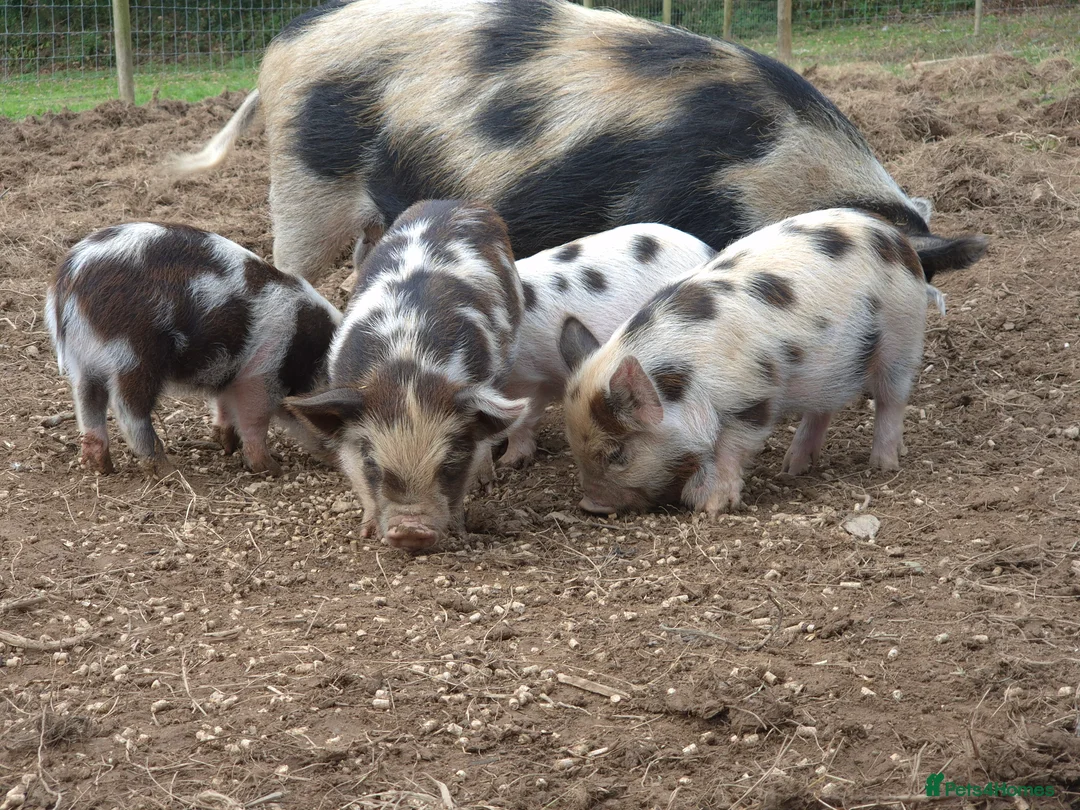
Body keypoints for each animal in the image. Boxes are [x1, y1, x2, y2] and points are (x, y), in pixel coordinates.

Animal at [45, 222, 342, 477]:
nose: (341, 468)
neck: (302, 350)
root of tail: (71, 277)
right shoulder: (261, 372)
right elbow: (255, 418)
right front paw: (272, 469)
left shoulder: (231, 372)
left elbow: (223, 405)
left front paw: (227, 445)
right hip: (133, 354)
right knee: (127, 408)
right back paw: (166, 470)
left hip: (84, 359)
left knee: (87, 401)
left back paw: (102, 467)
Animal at [283, 200, 528, 552]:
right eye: (371, 462)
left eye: (450, 462)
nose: (411, 530)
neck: (407, 368)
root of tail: (455, 203)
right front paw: (367, 532)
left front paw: (459, 530)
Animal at [557, 208, 964, 517]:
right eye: (575, 450)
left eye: (617, 452)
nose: (591, 506)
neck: (684, 381)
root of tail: (896, 237)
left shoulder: (754, 394)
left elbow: (728, 448)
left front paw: (708, 505)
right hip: (827, 365)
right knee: (823, 408)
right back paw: (793, 468)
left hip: (902, 335)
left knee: (892, 398)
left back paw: (882, 465)